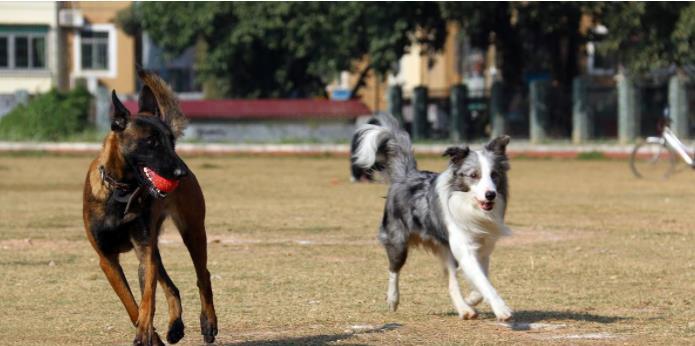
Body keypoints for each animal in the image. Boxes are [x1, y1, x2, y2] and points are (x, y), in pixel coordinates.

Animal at [85, 69, 220, 344]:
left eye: (171, 142)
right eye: (150, 142)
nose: (181, 173)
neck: (120, 191)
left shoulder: (144, 253)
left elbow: (147, 299)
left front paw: (145, 330)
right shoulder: (108, 260)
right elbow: (132, 305)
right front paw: (149, 334)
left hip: (192, 233)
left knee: (203, 276)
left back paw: (208, 322)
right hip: (155, 249)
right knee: (172, 287)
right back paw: (175, 325)